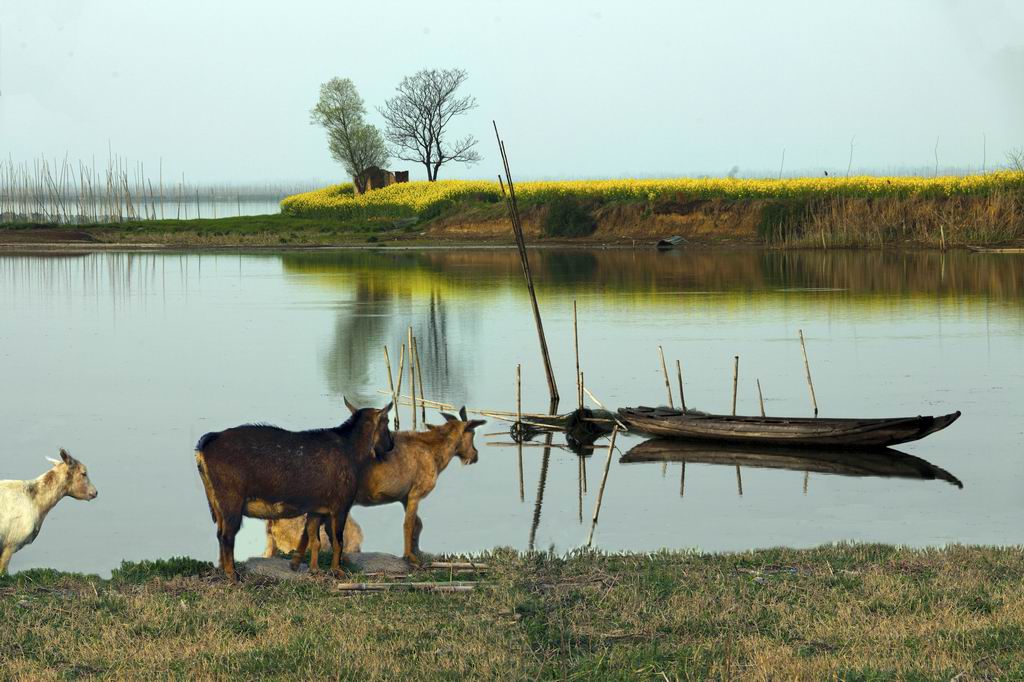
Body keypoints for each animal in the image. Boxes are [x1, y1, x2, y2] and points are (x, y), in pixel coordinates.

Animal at [194, 399, 391, 577]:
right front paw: (337, 571)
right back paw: (232, 574)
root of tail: (204, 446)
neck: (353, 452)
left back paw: (222, 569)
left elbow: (314, 539)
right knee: (227, 536)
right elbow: (337, 542)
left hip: (216, 503)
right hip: (232, 500)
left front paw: (311, 568)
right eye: (387, 421)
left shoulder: (317, 508)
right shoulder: (341, 504)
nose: (391, 445)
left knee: (219, 533)